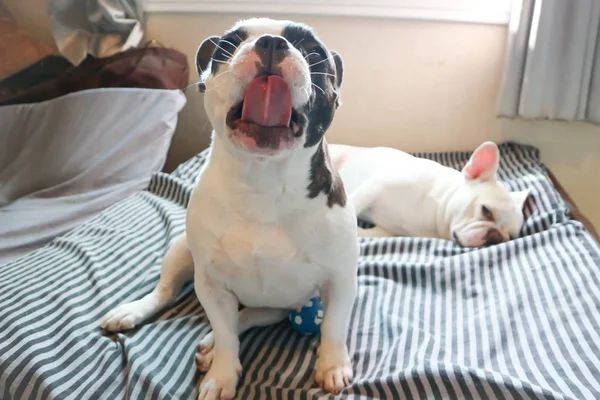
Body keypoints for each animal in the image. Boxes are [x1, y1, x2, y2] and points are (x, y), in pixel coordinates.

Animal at [101, 17, 358, 398]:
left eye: (314, 54)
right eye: (228, 46)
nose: (271, 43)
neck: (263, 180)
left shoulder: (340, 280)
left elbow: (334, 327)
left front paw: (332, 366)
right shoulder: (211, 284)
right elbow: (224, 332)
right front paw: (221, 375)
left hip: (278, 306)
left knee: (247, 316)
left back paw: (209, 343)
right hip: (181, 250)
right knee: (167, 292)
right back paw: (136, 311)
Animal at [330, 141, 532, 247]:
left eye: (510, 237)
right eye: (486, 211)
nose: (497, 237)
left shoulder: (387, 231)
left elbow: (367, 233)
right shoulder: (374, 186)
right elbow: (353, 206)